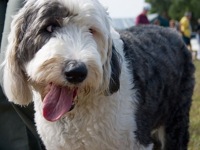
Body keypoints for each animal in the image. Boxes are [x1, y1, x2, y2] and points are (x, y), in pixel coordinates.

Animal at [1, 0, 195, 150]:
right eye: (49, 27)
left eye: (91, 30)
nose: (76, 71)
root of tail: (171, 32)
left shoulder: (134, 139)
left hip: (176, 116)